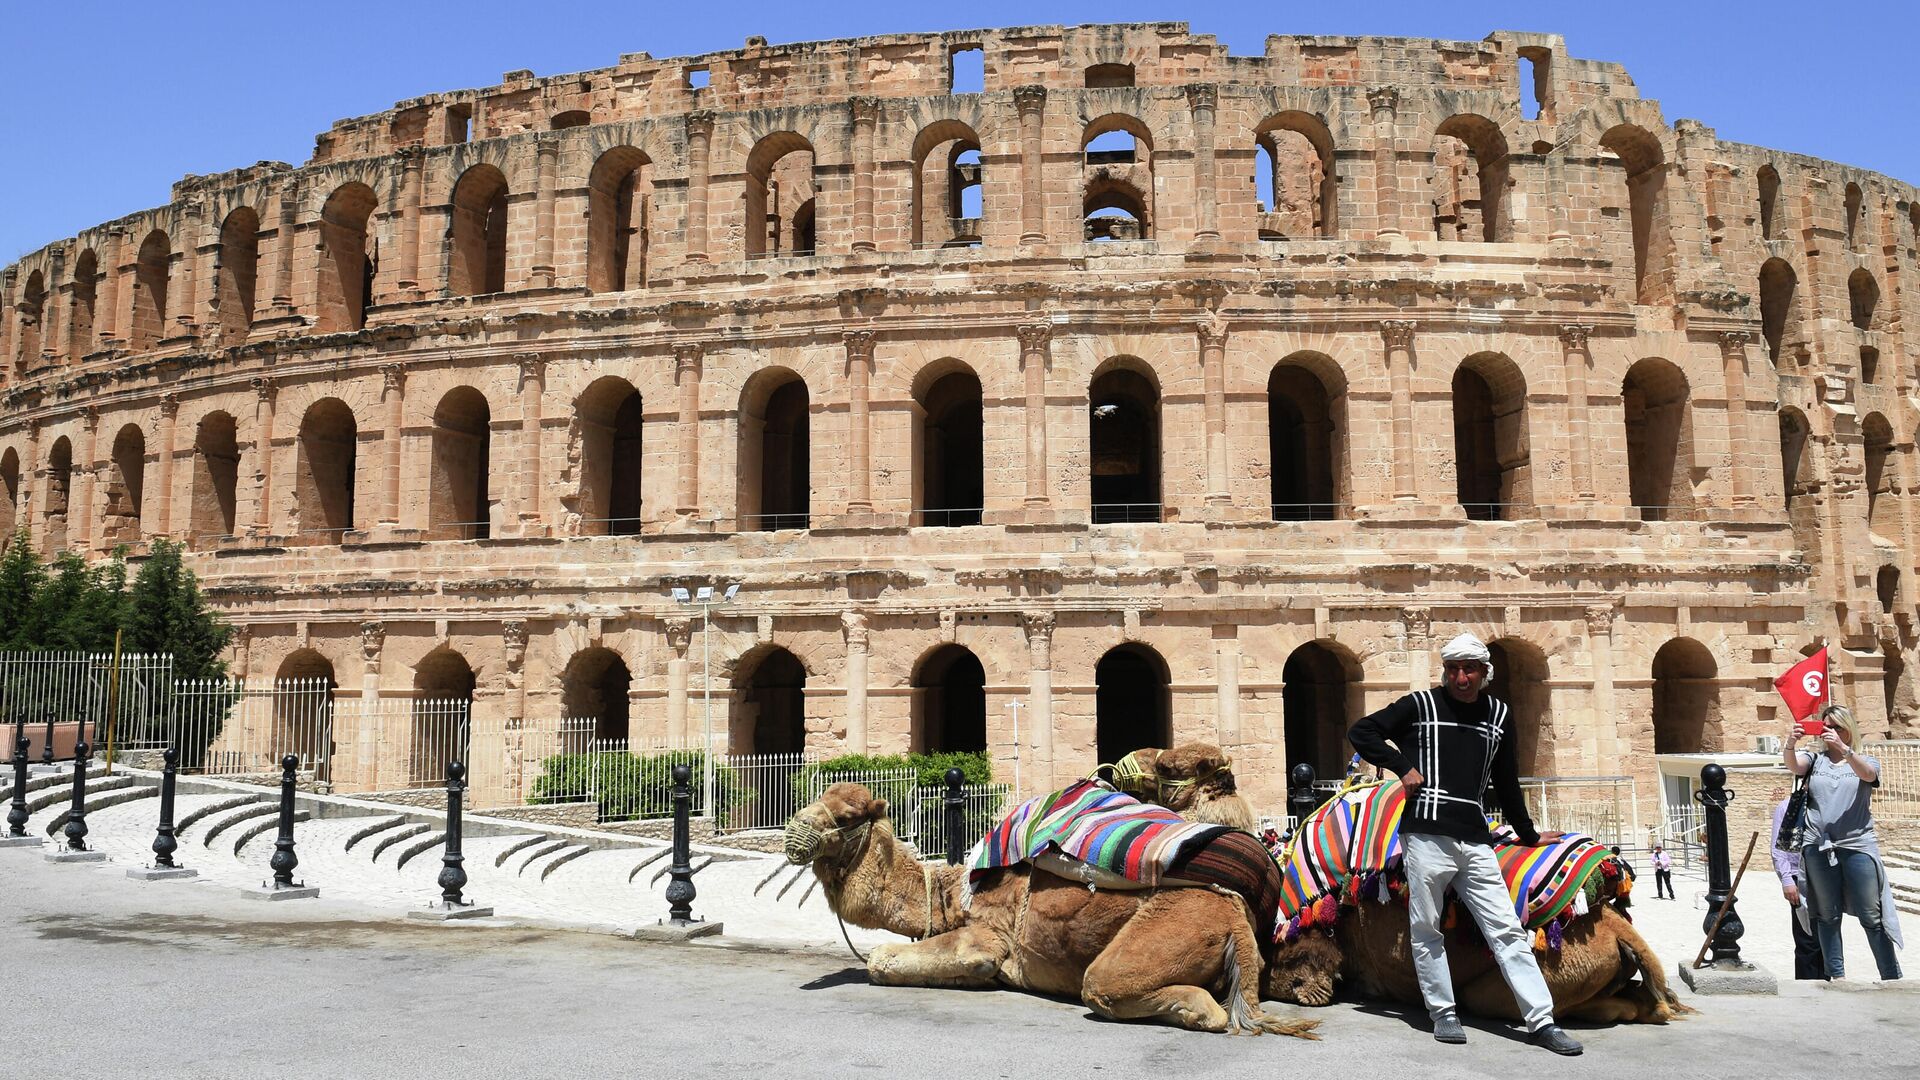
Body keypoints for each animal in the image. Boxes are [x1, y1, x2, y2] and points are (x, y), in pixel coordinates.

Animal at [779, 780, 1320, 1037]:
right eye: (817, 798)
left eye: (847, 815)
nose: (792, 831)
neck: (951, 893)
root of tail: (1236, 920)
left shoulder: (987, 935)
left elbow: (881, 960)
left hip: (1168, 930)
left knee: (1106, 986)